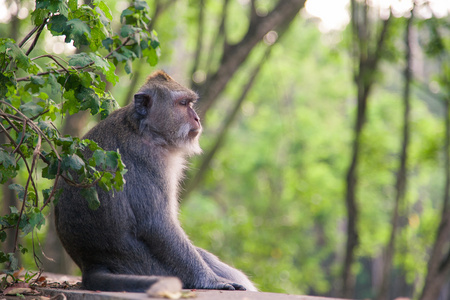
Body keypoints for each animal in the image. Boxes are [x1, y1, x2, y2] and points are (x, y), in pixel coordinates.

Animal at [53, 71, 256, 292]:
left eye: (190, 103)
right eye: (182, 103)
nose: (196, 118)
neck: (144, 130)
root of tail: (92, 263)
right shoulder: (146, 162)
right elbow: (156, 224)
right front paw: (212, 281)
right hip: (149, 266)